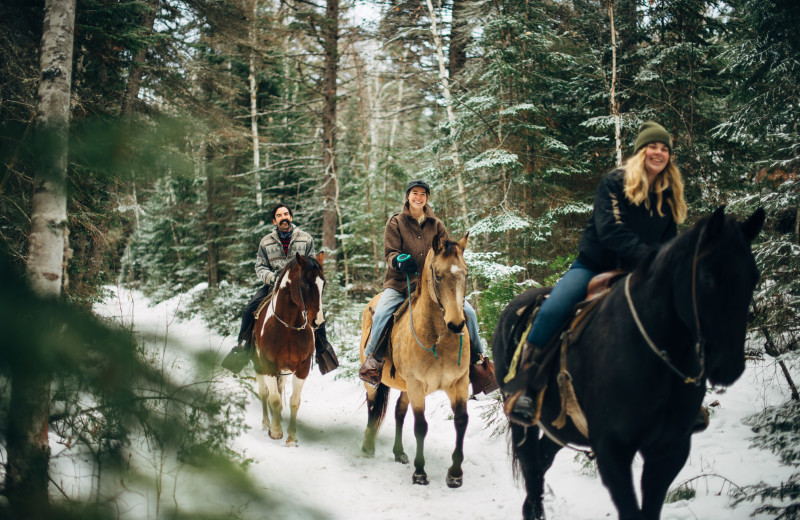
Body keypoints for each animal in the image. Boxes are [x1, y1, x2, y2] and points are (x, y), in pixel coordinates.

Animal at [252, 252, 324, 446]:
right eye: (305, 284)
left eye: (323, 283)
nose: (318, 321)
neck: (288, 326)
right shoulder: (268, 365)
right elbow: (274, 399)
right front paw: (276, 432)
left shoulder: (302, 367)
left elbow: (294, 401)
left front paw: (291, 437)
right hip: (258, 365)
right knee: (264, 393)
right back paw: (266, 423)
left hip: (283, 371)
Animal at [362, 235, 476, 488]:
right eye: (438, 275)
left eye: (466, 274)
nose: (456, 324)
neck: (437, 339)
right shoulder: (416, 385)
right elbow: (421, 426)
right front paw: (420, 472)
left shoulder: (459, 383)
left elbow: (462, 421)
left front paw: (455, 474)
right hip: (374, 382)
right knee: (373, 407)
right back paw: (368, 446)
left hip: (406, 387)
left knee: (398, 411)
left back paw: (399, 452)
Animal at [490, 207, 764, 520]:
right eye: (707, 276)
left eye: (754, 277)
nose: (728, 366)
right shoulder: (613, 451)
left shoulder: (669, 451)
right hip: (521, 419)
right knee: (531, 463)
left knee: (543, 458)